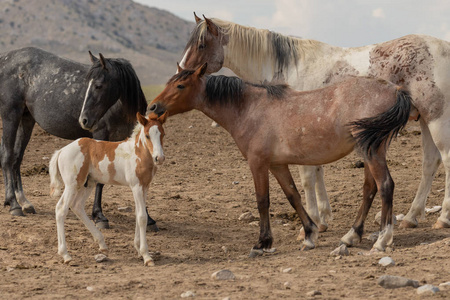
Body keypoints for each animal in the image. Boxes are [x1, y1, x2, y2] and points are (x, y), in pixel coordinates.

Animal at [0, 46, 158, 230]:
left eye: (98, 85)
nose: (84, 119)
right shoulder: (101, 135)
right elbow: (100, 180)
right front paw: (99, 216)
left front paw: (149, 219)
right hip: (11, 115)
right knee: (7, 157)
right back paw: (13, 204)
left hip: (26, 118)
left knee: (17, 159)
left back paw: (24, 202)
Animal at [49, 112, 168, 264]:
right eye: (147, 135)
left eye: (162, 134)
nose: (160, 158)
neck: (138, 154)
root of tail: (62, 150)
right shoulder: (136, 186)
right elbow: (142, 217)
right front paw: (146, 256)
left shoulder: (145, 187)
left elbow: (138, 214)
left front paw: (138, 249)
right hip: (72, 185)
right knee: (61, 209)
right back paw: (65, 255)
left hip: (88, 184)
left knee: (77, 206)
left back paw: (102, 244)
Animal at [149, 63, 414, 255]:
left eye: (181, 85)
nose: (153, 107)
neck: (250, 108)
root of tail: (394, 90)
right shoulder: (277, 165)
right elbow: (293, 196)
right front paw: (309, 235)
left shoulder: (258, 164)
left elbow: (262, 201)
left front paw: (263, 243)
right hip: (370, 151)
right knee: (370, 188)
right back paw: (352, 236)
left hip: (372, 152)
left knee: (385, 186)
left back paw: (382, 240)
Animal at [179, 15, 450, 239]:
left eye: (201, 45)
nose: (181, 72)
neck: (289, 67)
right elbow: (317, 172)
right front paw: (322, 218)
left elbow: (307, 179)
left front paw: (309, 226)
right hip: (423, 121)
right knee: (430, 163)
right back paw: (411, 217)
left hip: (436, 118)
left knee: (445, 159)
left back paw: (443, 218)